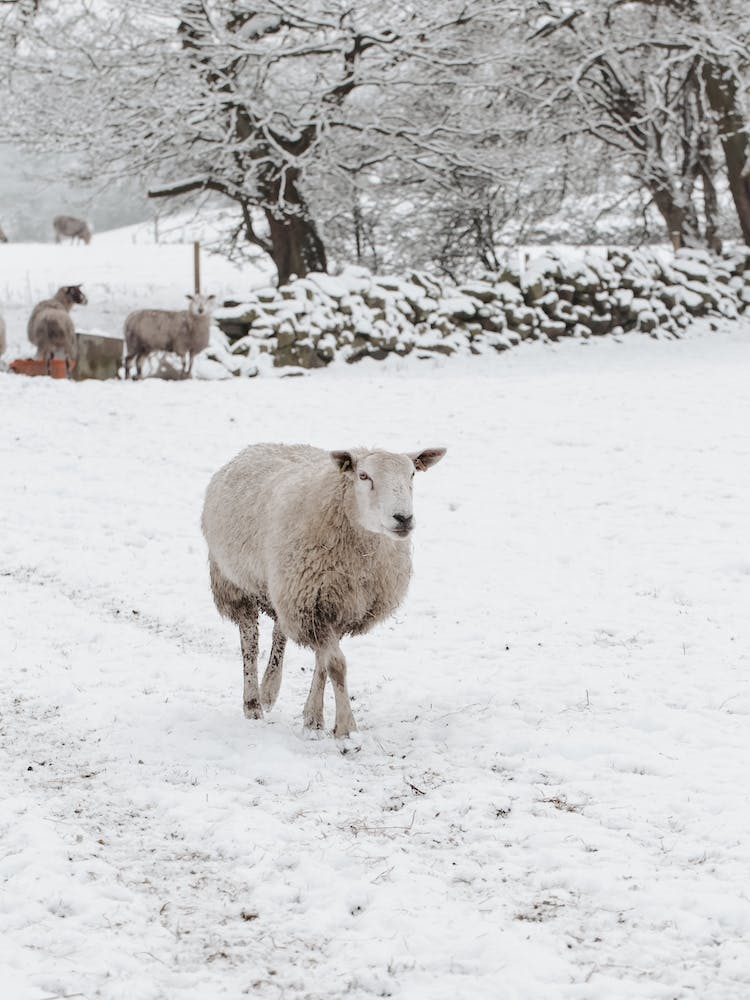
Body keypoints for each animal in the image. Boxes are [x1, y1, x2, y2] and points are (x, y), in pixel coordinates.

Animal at [201, 443, 447, 743]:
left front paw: (313, 720)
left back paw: (269, 690)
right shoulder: (315, 606)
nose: (404, 518)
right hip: (235, 583)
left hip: (284, 587)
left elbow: (323, 664)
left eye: (412, 474)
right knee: (250, 640)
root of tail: (260, 446)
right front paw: (346, 730)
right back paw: (253, 704)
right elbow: (336, 665)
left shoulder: (337, 607)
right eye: (363, 476)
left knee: (279, 631)